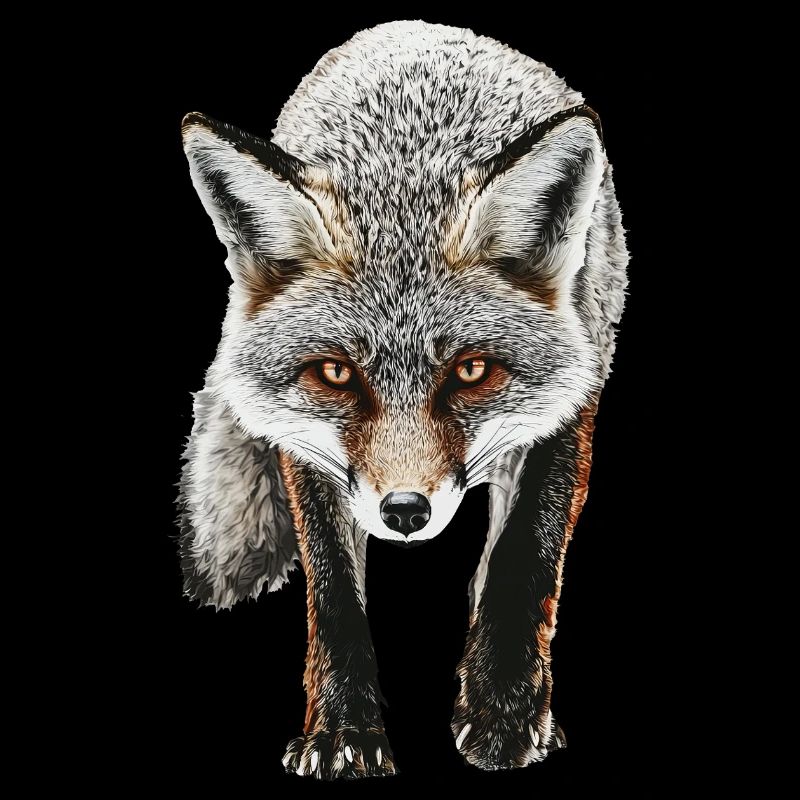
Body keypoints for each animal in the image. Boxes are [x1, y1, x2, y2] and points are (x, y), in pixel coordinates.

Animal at [177, 20, 628, 779]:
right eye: (335, 374)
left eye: (471, 371)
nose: (406, 512)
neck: (405, 170)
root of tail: (416, 28)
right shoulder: (306, 445)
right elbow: (334, 592)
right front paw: (341, 731)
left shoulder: (570, 398)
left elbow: (522, 560)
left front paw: (505, 713)